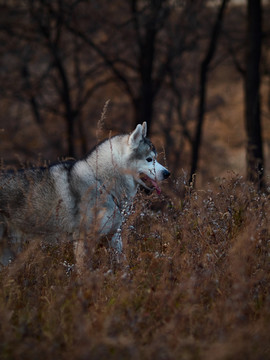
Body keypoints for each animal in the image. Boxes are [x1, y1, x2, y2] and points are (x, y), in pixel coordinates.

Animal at [0, 122, 169, 266]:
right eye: (149, 159)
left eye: (156, 158)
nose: (167, 173)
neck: (102, 183)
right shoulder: (84, 240)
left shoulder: (114, 236)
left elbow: (123, 265)